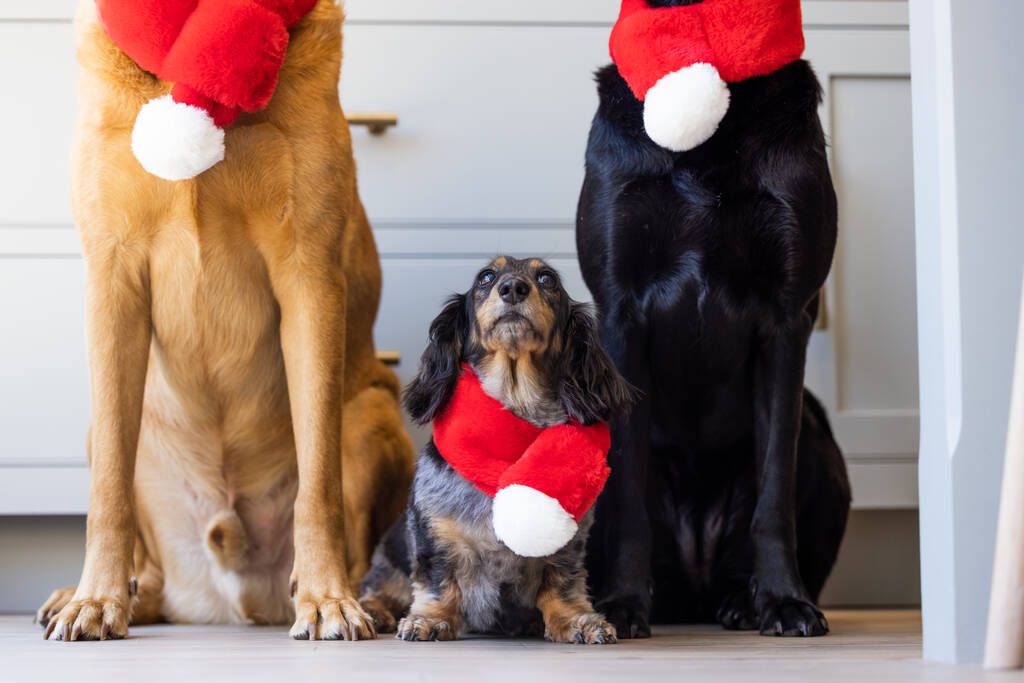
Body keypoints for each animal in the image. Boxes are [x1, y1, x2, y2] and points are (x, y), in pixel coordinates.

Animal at [37, 0, 411, 643]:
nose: (329, 595)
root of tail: (231, 599)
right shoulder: (112, 279)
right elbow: (108, 484)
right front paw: (96, 599)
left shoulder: (309, 278)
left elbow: (319, 482)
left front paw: (327, 599)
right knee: (146, 565)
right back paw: (102, 596)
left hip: (371, 414)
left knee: (366, 551)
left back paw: (365, 600)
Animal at [358, 258, 630, 647]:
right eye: (486, 277)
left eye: (547, 278)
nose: (513, 288)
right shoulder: (435, 536)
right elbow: (439, 581)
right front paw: (431, 620)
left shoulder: (568, 543)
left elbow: (562, 584)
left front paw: (577, 620)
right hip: (390, 557)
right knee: (379, 589)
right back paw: (373, 612)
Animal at [581, 2, 851, 638]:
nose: (783, 598)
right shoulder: (621, 311)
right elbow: (627, 492)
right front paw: (623, 602)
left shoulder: (787, 318)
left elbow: (774, 492)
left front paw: (783, 600)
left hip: (819, 433)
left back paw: (741, 600)